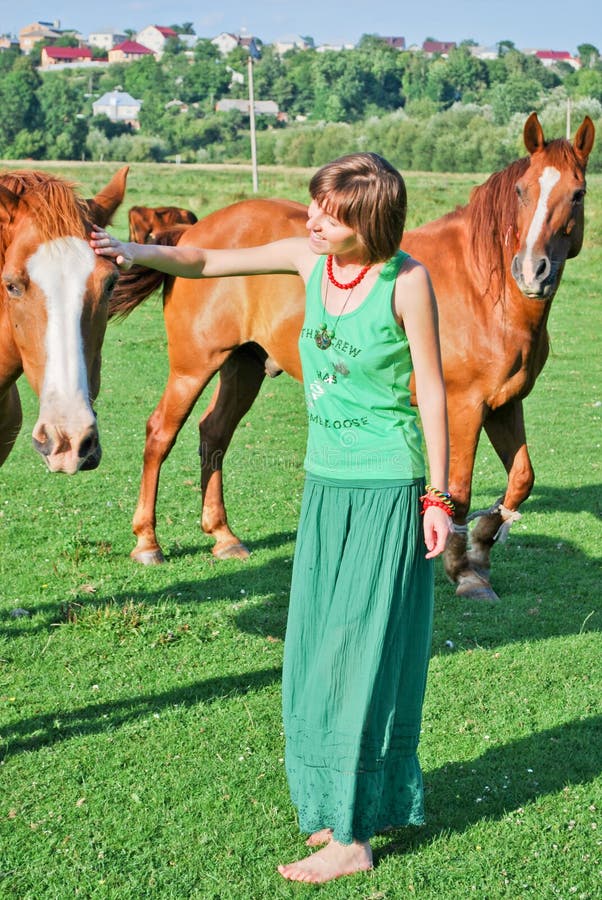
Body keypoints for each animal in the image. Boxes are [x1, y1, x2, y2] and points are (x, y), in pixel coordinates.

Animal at [110, 116, 592, 600]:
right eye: (522, 191)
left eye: (578, 192)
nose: (532, 271)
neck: (483, 287)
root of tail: (192, 233)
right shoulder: (464, 408)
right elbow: (458, 491)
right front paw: (465, 571)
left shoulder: (505, 404)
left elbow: (522, 479)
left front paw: (482, 546)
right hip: (193, 367)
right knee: (160, 433)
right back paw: (147, 542)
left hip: (243, 366)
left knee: (214, 433)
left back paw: (224, 536)